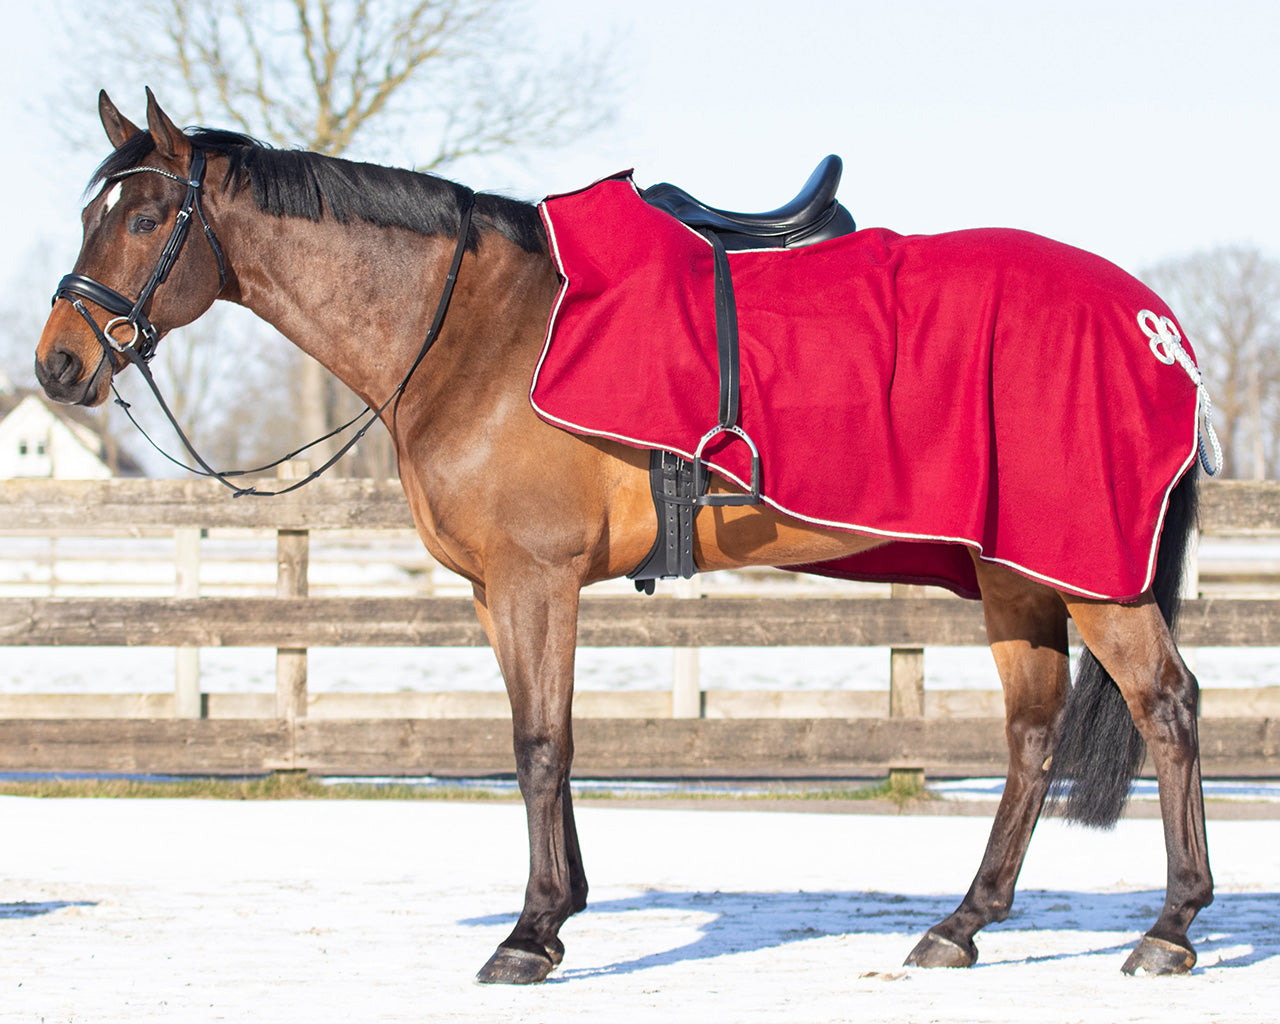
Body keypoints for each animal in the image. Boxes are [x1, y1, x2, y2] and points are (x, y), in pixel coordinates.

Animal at [35, 90, 1213, 985]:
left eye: (143, 219)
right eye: (91, 210)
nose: (58, 363)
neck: (477, 330)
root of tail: (1155, 324)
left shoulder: (535, 579)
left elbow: (539, 747)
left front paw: (527, 935)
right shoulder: (497, 592)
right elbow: (545, 741)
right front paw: (559, 913)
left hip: (1089, 573)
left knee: (1166, 707)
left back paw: (1168, 927)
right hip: (1014, 572)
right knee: (1031, 736)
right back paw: (960, 925)